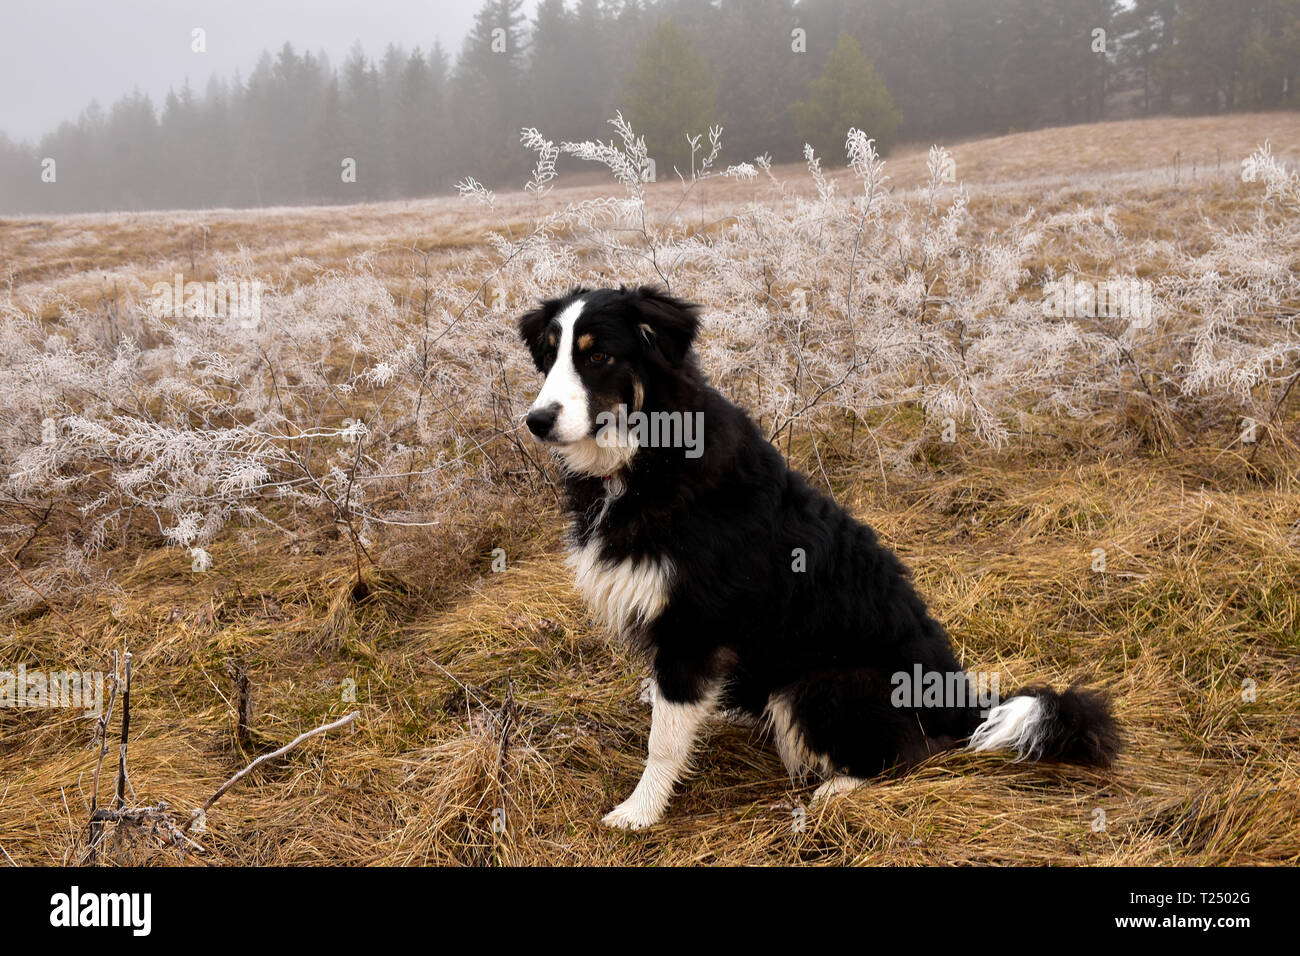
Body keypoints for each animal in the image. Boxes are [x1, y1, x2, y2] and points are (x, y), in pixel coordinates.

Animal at [517, 283, 1118, 832]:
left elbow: (662, 741)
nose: (536, 421)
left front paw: (639, 812)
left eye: (599, 355)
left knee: (904, 754)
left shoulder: (692, 626)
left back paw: (834, 789)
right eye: (550, 355)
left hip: (820, 684)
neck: (646, 459)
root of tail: (956, 701)